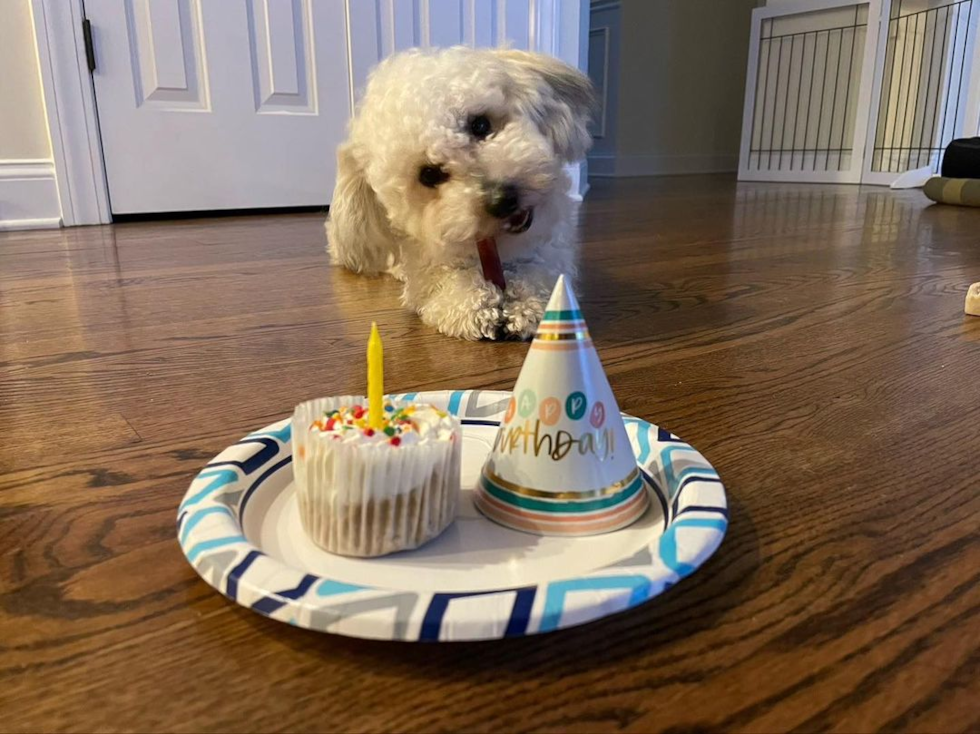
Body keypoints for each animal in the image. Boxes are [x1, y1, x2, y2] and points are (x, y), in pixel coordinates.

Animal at [326, 47, 592, 340]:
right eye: (429, 175)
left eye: (480, 125)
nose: (503, 200)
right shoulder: (426, 268)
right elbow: (447, 281)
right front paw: (474, 303)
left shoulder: (552, 249)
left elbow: (541, 271)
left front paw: (530, 302)